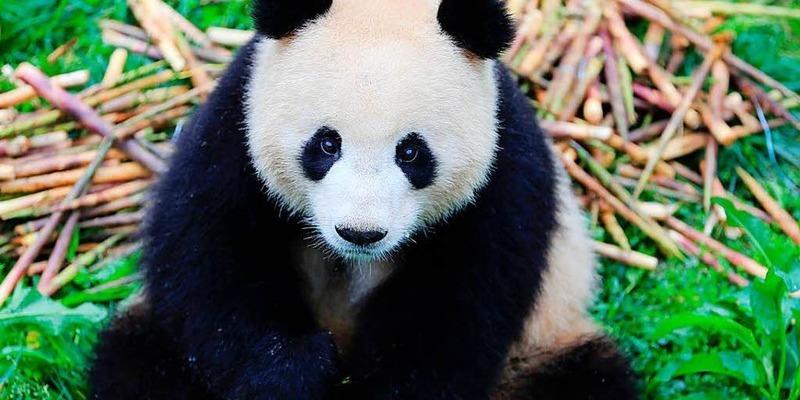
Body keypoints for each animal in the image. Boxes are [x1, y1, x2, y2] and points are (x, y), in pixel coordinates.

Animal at [89, 0, 636, 400]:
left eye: (411, 152)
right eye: (327, 144)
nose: (360, 232)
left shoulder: (505, 175)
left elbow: (459, 314)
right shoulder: (232, 131)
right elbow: (210, 262)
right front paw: (293, 373)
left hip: (543, 344)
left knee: (585, 379)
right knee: (139, 363)